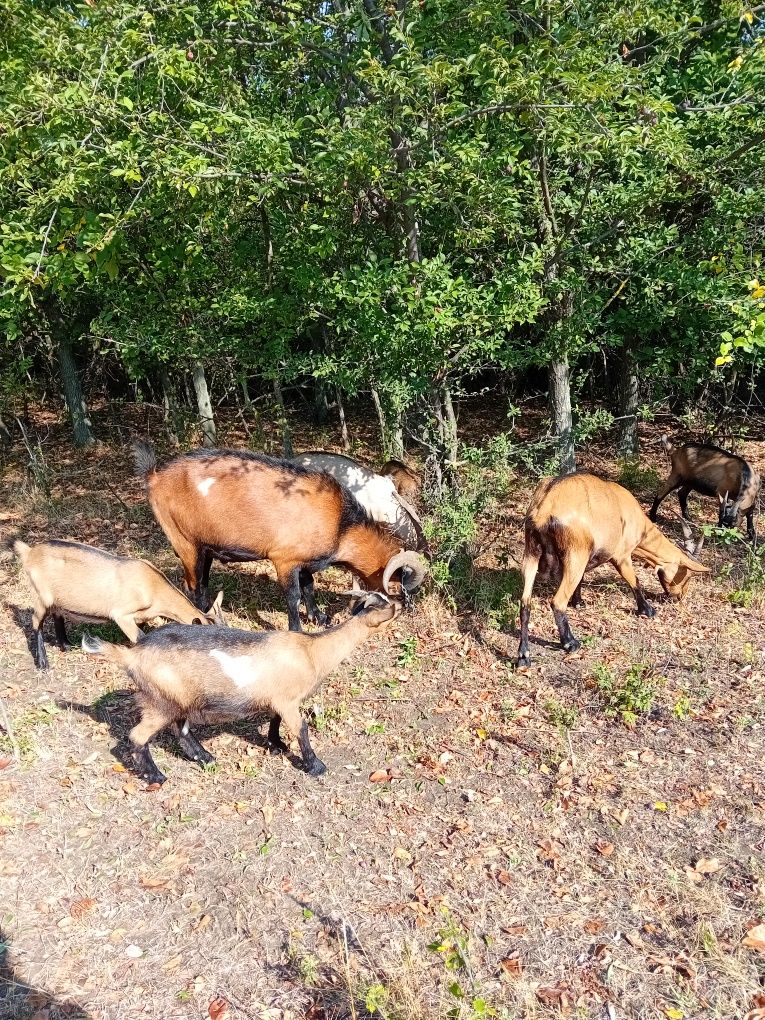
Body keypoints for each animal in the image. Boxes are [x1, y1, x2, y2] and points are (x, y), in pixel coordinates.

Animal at [14, 538, 224, 673]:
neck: (153, 586)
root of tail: (29, 552)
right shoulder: (121, 615)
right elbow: (140, 638)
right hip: (40, 595)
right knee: (36, 622)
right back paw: (43, 664)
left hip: (57, 598)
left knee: (57, 614)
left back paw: (66, 644)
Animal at [81, 591, 403, 779]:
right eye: (385, 605)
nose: (402, 602)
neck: (311, 651)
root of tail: (131, 654)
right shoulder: (288, 701)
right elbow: (301, 729)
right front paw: (316, 767)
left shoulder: (277, 698)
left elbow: (274, 721)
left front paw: (275, 745)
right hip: (160, 702)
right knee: (138, 736)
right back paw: (156, 776)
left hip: (178, 699)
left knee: (181, 730)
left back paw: (206, 758)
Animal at [518, 473, 709, 665]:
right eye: (687, 575)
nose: (679, 597)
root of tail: (545, 508)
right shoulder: (622, 556)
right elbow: (635, 581)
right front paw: (648, 610)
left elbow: (581, 580)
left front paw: (578, 602)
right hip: (575, 552)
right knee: (557, 602)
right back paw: (570, 643)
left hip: (532, 551)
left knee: (525, 602)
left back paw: (524, 656)